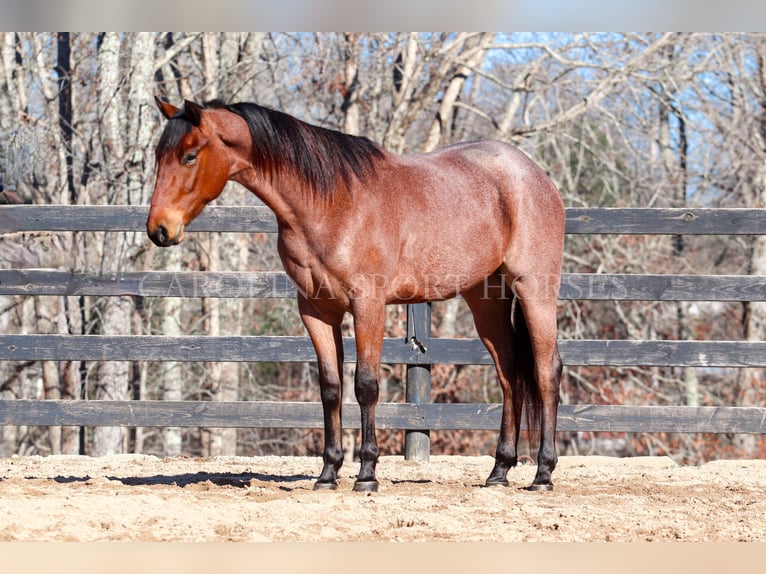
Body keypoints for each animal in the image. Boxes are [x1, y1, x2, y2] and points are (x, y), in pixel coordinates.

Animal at [147, 97, 568, 492]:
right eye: (158, 156)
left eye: (189, 156)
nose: (159, 229)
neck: (331, 204)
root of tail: (535, 175)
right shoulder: (317, 311)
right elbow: (330, 389)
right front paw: (328, 473)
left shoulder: (368, 306)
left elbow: (365, 385)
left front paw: (366, 472)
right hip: (486, 301)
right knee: (510, 375)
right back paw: (500, 471)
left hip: (535, 290)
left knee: (546, 371)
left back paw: (543, 473)